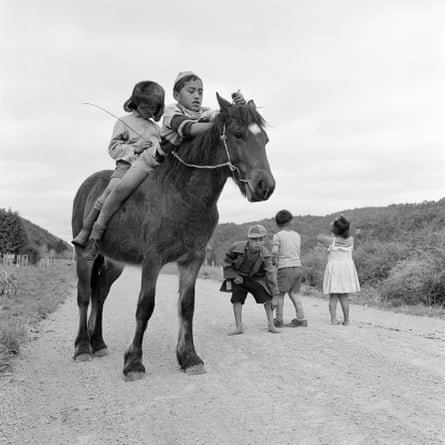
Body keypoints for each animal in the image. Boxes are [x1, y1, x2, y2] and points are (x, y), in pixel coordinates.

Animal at [70, 93, 274, 378]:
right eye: (238, 134)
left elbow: (187, 307)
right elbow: (145, 307)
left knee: (100, 295)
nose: (265, 186)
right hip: (84, 256)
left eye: (264, 139)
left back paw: (97, 343)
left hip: (114, 263)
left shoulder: (192, 260)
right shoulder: (153, 261)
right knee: (85, 295)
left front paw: (189, 358)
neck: (183, 195)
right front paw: (134, 362)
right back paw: (82, 347)